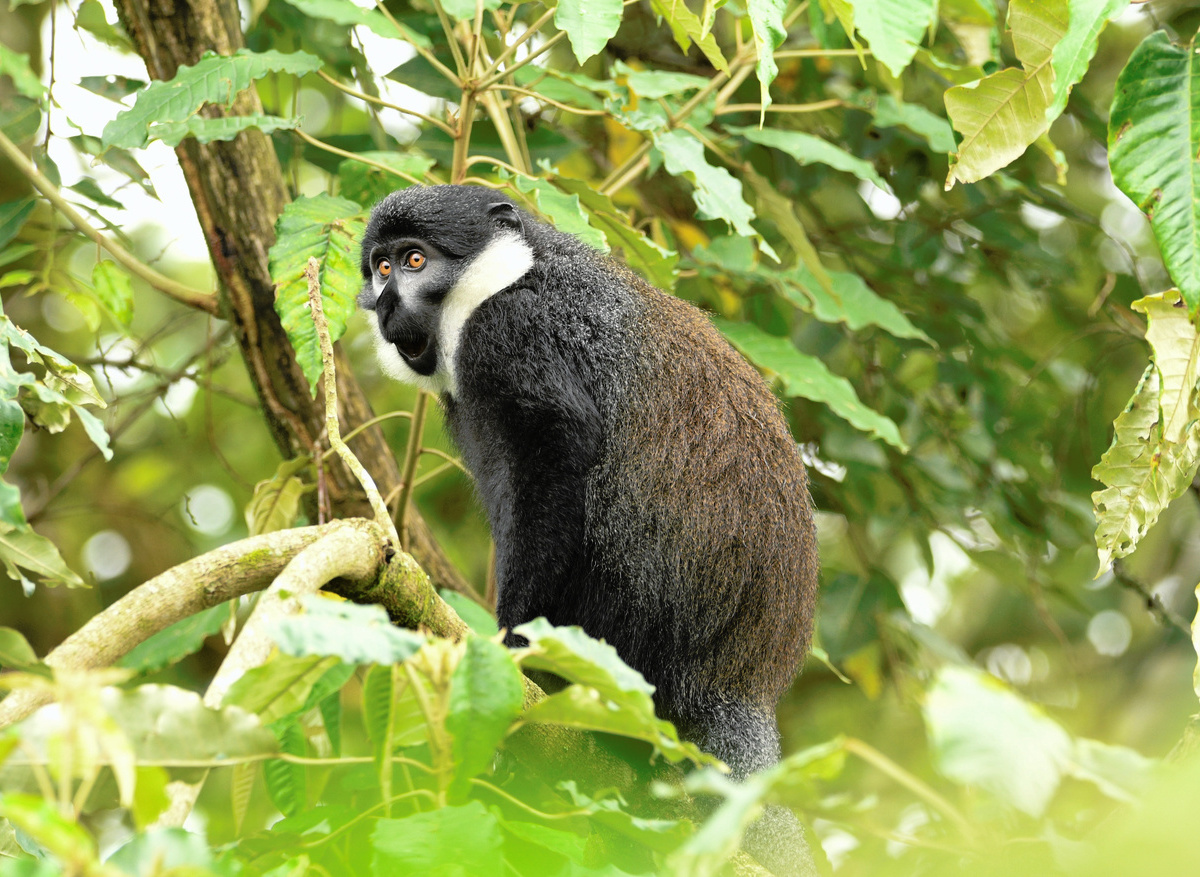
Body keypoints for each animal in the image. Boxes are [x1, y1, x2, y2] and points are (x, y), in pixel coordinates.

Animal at [358, 184, 820, 877]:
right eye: (381, 267)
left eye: (414, 261)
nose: (384, 301)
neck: (513, 271)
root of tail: (732, 687)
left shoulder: (512, 333)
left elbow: (558, 452)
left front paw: (516, 649)